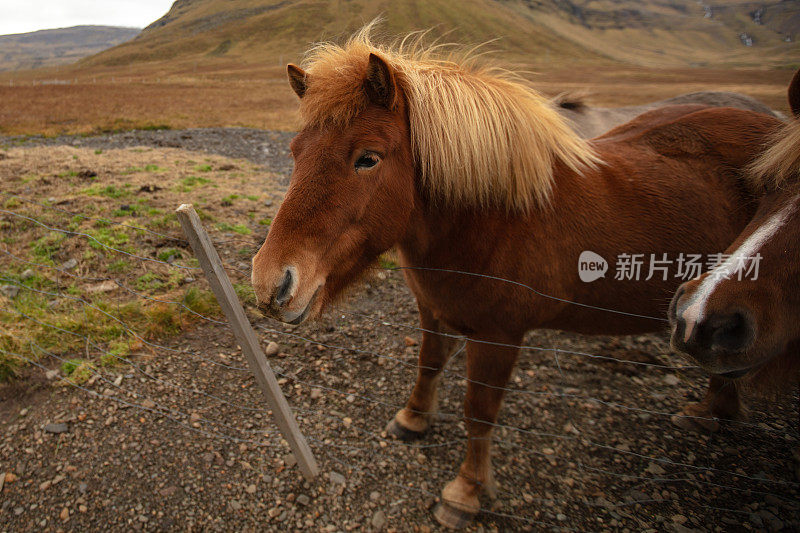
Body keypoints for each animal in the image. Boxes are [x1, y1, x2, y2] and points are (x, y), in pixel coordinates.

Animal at [250, 27, 780, 524]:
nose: (270, 282)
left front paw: (464, 493)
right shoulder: (433, 309)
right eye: (294, 151)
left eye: (368, 157)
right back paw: (712, 412)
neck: (491, 221)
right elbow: (429, 365)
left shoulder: (498, 337)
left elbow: (480, 413)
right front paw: (413, 420)